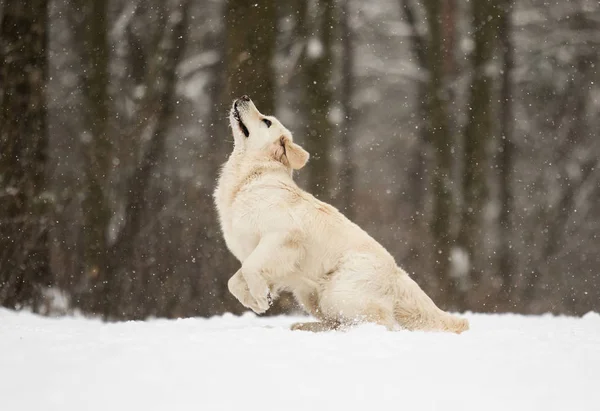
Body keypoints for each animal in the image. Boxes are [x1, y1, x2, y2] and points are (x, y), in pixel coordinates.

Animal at [213, 96, 472, 334]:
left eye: (266, 121)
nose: (245, 97)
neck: (250, 177)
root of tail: (397, 274)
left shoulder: (283, 237)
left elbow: (250, 268)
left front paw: (259, 297)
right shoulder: (260, 253)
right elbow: (233, 281)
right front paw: (256, 301)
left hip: (338, 290)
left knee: (381, 324)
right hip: (311, 295)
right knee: (336, 321)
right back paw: (304, 326)